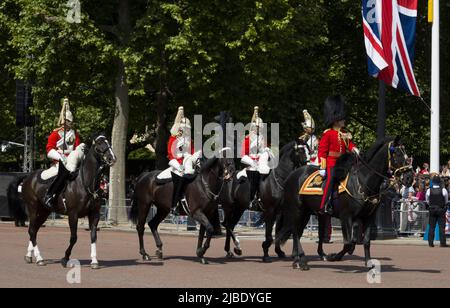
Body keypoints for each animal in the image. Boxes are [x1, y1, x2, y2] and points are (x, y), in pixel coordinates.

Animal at [18, 134, 116, 268]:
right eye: (99, 143)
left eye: (109, 142)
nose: (113, 158)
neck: (85, 183)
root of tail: (28, 177)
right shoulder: (73, 214)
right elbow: (73, 237)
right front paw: (65, 258)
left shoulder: (94, 214)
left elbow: (93, 236)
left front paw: (94, 261)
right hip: (33, 208)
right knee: (32, 230)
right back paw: (39, 258)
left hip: (44, 211)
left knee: (34, 230)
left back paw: (29, 256)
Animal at [276, 137, 410, 270]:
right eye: (397, 154)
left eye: (406, 154)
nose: (409, 177)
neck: (363, 182)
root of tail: (291, 175)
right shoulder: (346, 216)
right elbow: (348, 243)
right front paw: (334, 257)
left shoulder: (368, 217)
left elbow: (365, 241)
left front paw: (368, 262)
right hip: (297, 209)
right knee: (295, 232)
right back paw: (302, 260)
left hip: (306, 212)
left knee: (297, 232)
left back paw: (297, 260)